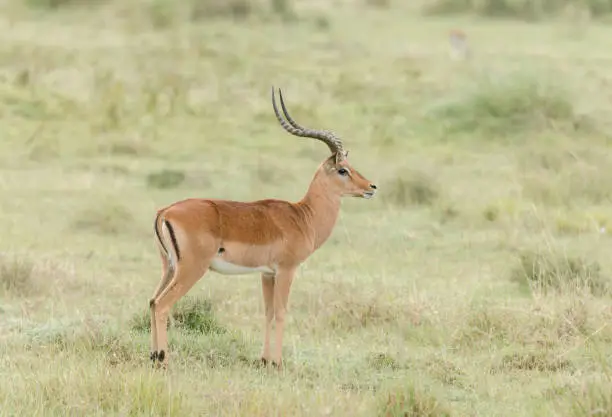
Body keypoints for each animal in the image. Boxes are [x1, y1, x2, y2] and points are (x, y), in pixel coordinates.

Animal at [148, 87, 378, 368]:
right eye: (343, 170)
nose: (371, 187)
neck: (303, 217)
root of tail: (165, 211)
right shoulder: (287, 270)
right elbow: (280, 312)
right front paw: (278, 363)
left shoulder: (267, 274)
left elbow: (267, 312)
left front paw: (265, 360)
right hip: (191, 270)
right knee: (162, 304)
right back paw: (162, 358)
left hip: (169, 267)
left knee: (152, 301)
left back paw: (153, 355)